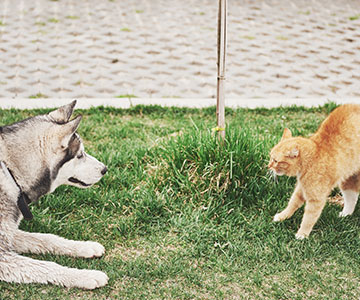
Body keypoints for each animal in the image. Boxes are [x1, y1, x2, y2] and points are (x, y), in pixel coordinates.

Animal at [0, 100, 108, 288]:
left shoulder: (9, 233)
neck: (11, 172)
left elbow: (46, 238)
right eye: (80, 155)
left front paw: (84, 246)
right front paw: (85, 275)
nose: (105, 169)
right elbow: (44, 266)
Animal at [268, 104, 360, 240]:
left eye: (275, 160)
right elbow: (292, 203)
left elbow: (309, 218)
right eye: (270, 157)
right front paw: (283, 216)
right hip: (349, 178)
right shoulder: (301, 189)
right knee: (351, 197)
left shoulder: (316, 199)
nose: (269, 166)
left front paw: (302, 234)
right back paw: (345, 214)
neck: (315, 155)